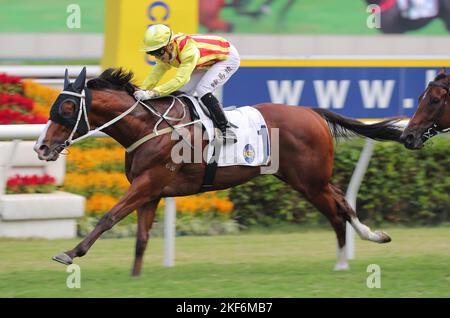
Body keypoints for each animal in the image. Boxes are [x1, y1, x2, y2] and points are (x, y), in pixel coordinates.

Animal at [34, 67, 400, 276]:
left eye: (68, 107)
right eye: (54, 105)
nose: (41, 147)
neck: (149, 126)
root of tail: (312, 112)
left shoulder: (148, 182)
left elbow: (109, 216)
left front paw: (70, 253)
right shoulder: (150, 191)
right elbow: (141, 237)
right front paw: (135, 277)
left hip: (309, 181)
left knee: (337, 211)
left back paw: (343, 260)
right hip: (308, 179)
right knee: (341, 201)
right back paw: (368, 239)